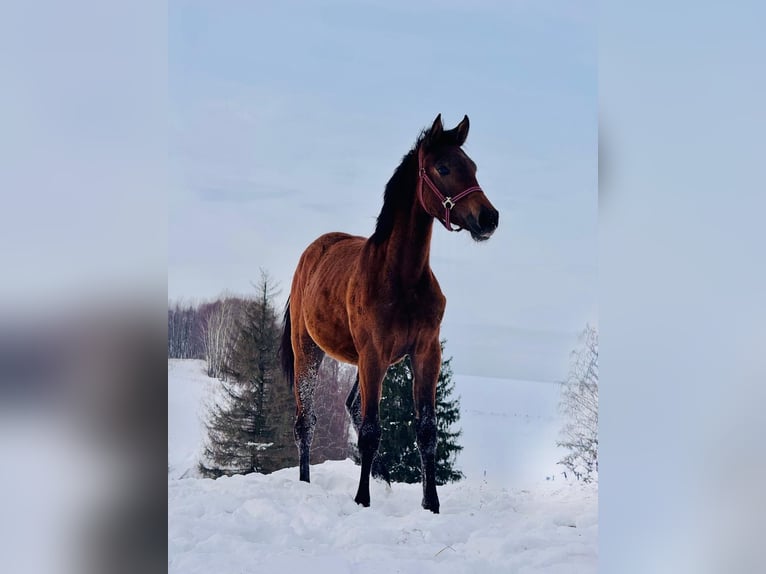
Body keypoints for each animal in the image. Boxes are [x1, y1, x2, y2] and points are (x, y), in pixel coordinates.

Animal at [279, 114, 499, 513]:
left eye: (472, 167)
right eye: (443, 168)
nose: (488, 218)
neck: (401, 277)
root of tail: (311, 253)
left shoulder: (425, 353)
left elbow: (426, 430)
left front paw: (431, 503)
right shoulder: (374, 353)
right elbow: (371, 429)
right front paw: (361, 499)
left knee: (350, 405)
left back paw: (385, 480)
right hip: (309, 351)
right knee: (307, 420)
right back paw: (306, 483)